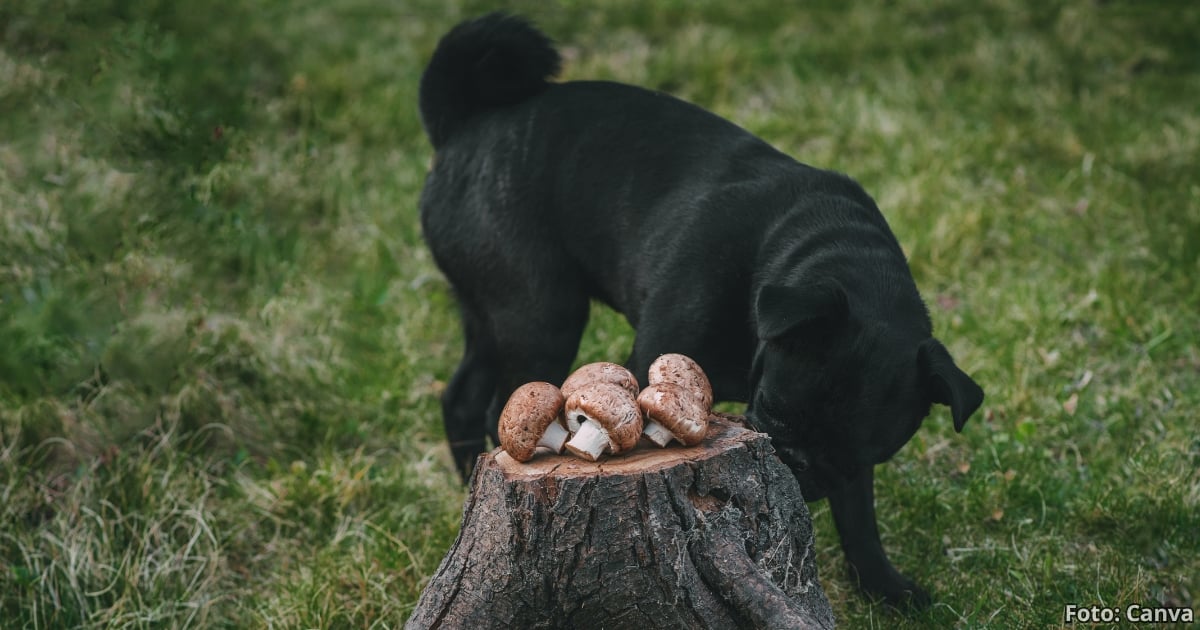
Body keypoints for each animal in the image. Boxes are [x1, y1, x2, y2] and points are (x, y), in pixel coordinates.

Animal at [417, 12, 979, 607]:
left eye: (853, 454)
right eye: (773, 410)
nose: (794, 462)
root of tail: (463, 125)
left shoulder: (853, 471)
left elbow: (859, 518)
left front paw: (886, 587)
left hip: (490, 314)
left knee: (461, 395)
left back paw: (464, 489)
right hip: (541, 315)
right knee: (503, 400)